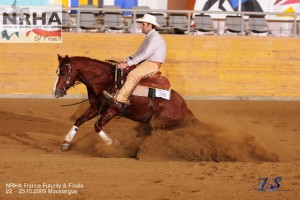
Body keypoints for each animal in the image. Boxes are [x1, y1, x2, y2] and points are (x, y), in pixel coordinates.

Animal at [52, 54, 198, 151]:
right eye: (57, 71)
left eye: (63, 72)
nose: (55, 92)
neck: (107, 81)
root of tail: (185, 108)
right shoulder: (96, 107)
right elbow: (78, 121)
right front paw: (66, 142)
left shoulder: (113, 110)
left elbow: (97, 126)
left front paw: (113, 144)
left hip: (161, 123)